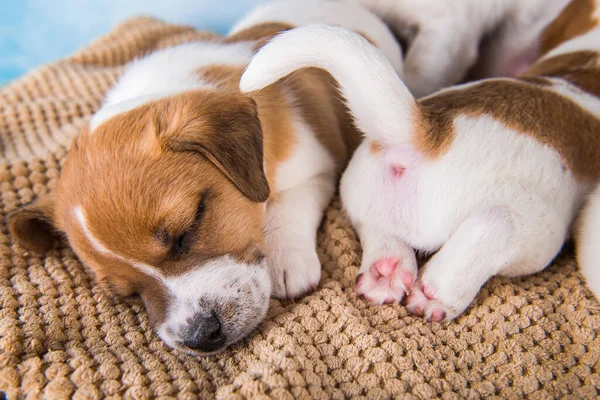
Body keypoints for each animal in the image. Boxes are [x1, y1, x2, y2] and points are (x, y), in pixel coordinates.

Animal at [5, 0, 404, 356]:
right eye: (125, 292)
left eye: (189, 228)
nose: (200, 337)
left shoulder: (316, 166)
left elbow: (287, 203)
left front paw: (285, 258)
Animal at [243, 0, 600, 322]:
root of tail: (431, 130)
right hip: (536, 231)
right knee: (494, 226)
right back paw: (435, 295)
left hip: (362, 188)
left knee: (377, 229)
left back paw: (387, 271)